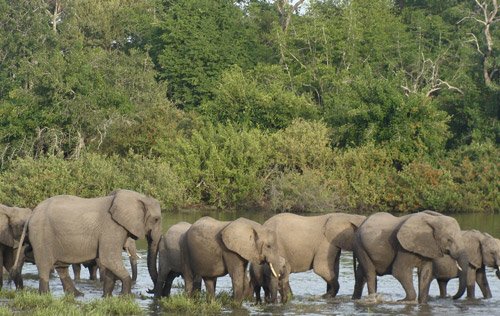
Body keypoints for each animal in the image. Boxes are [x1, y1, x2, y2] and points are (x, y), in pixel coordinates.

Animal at [11, 188, 161, 296]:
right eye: (156, 219)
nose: (149, 290)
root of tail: (32, 214)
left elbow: (110, 263)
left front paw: (107, 298)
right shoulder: (111, 227)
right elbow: (109, 258)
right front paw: (125, 297)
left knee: (61, 267)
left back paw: (78, 295)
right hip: (42, 235)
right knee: (45, 265)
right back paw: (45, 295)